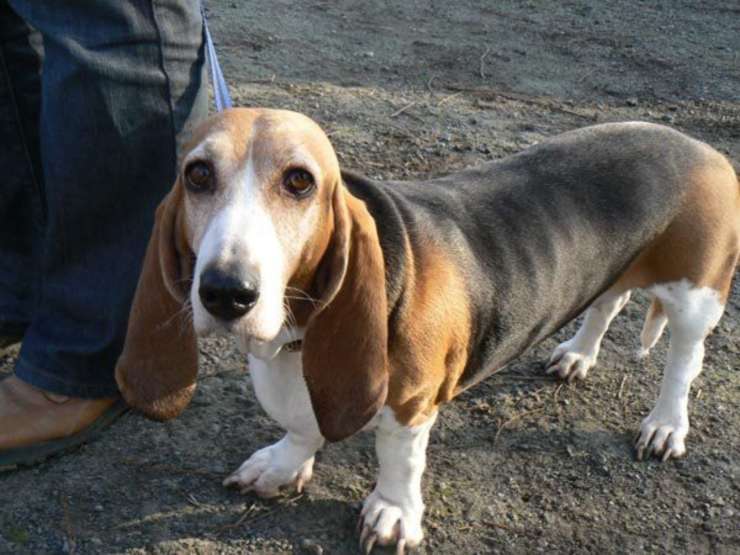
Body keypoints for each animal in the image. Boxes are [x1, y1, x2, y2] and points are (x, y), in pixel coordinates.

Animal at [112, 108, 736, 552]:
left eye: (299, 182)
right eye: (197, 174)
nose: (226, 291)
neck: (295, 335)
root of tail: (701, 148)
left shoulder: (410, 402)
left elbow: (399, 460)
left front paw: (392, 513)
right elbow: (300, 423)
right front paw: (284, 464)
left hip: (696, 298)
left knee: (685, 362)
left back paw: (665, 425)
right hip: (610, 273)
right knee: (608, 302)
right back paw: (578, 354)